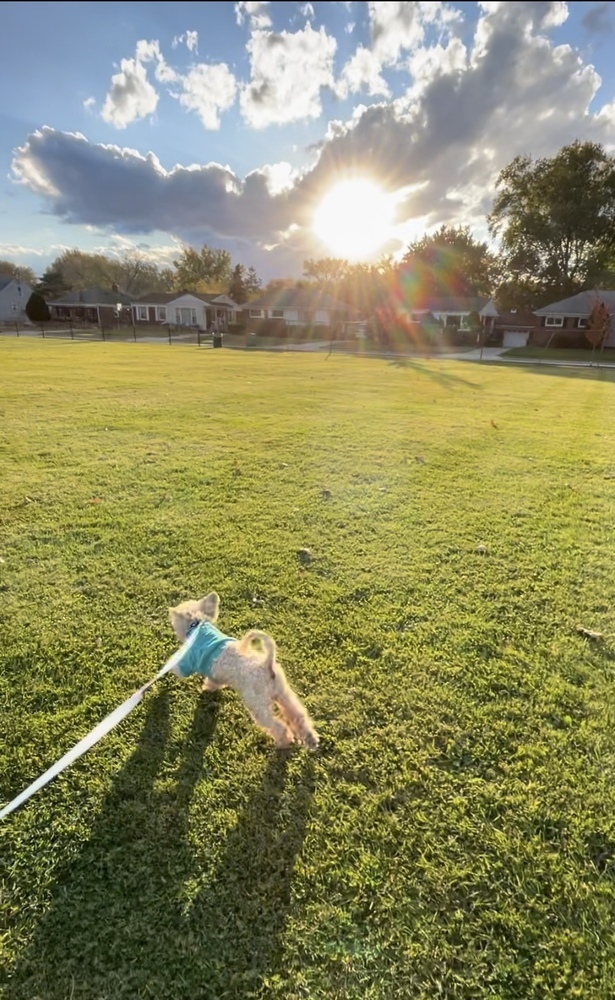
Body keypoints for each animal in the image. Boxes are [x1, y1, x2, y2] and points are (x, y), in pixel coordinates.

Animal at [170, 588, 320, 748]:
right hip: (283, 693)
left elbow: (180, 668)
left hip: (258, 704)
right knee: (298, 715)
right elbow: (213, 681)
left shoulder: (190, 659)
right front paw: (209, 687)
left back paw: (283, 742)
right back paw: (311, 739)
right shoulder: (215, 674)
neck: (198, 627)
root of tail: (266, 664)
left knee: (278, 727)